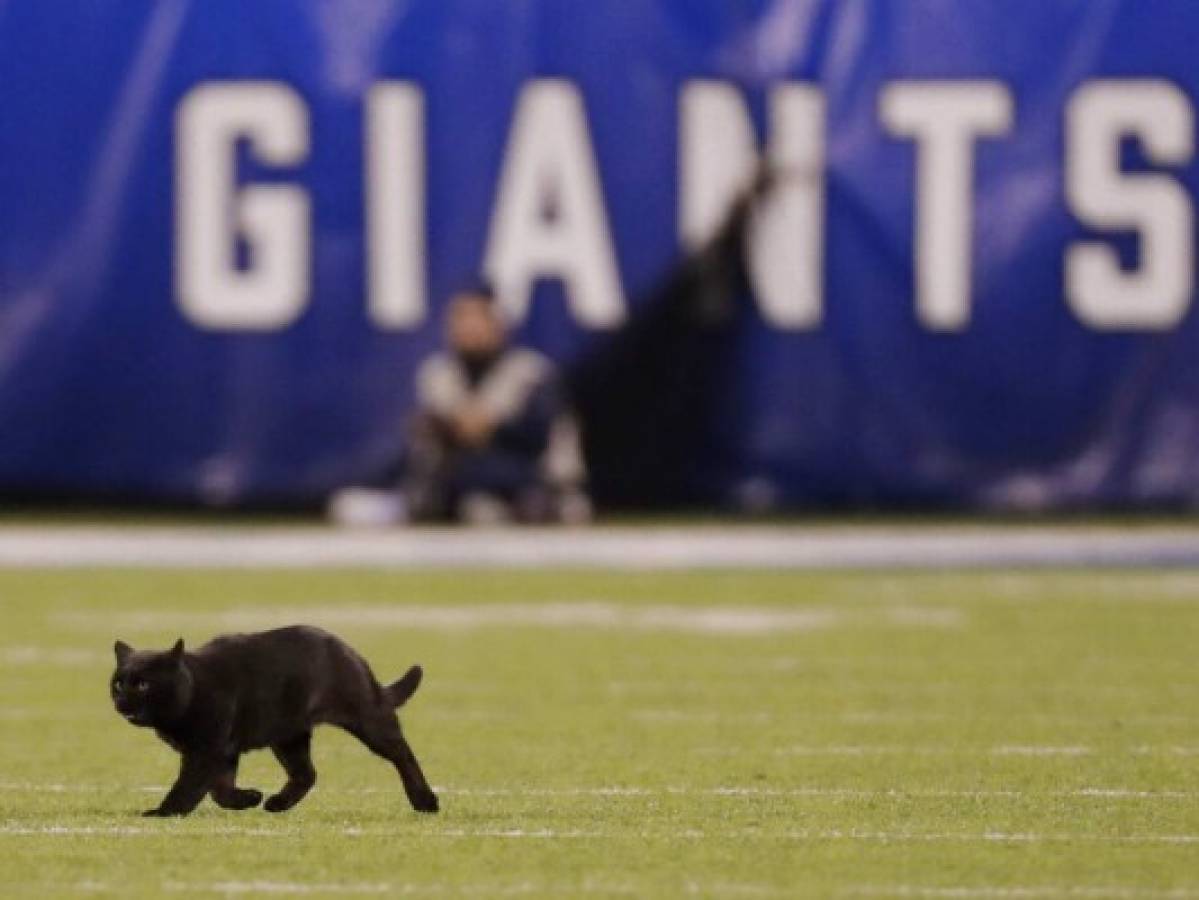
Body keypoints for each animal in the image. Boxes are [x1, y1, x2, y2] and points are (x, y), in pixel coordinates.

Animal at [111, 627, 441, 814]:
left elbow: (188, 787)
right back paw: (277, 804)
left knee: (403, 754)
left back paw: (425, 801)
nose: (121, 699)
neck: (193, 689)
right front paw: (249, 798)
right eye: (118, 683)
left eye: (143, 685)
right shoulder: (223, 752)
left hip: (368, 719)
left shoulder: (206, 751)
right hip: (287, 736)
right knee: (307, 774)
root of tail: (348, 650)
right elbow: (219, 790)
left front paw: (162, 813)